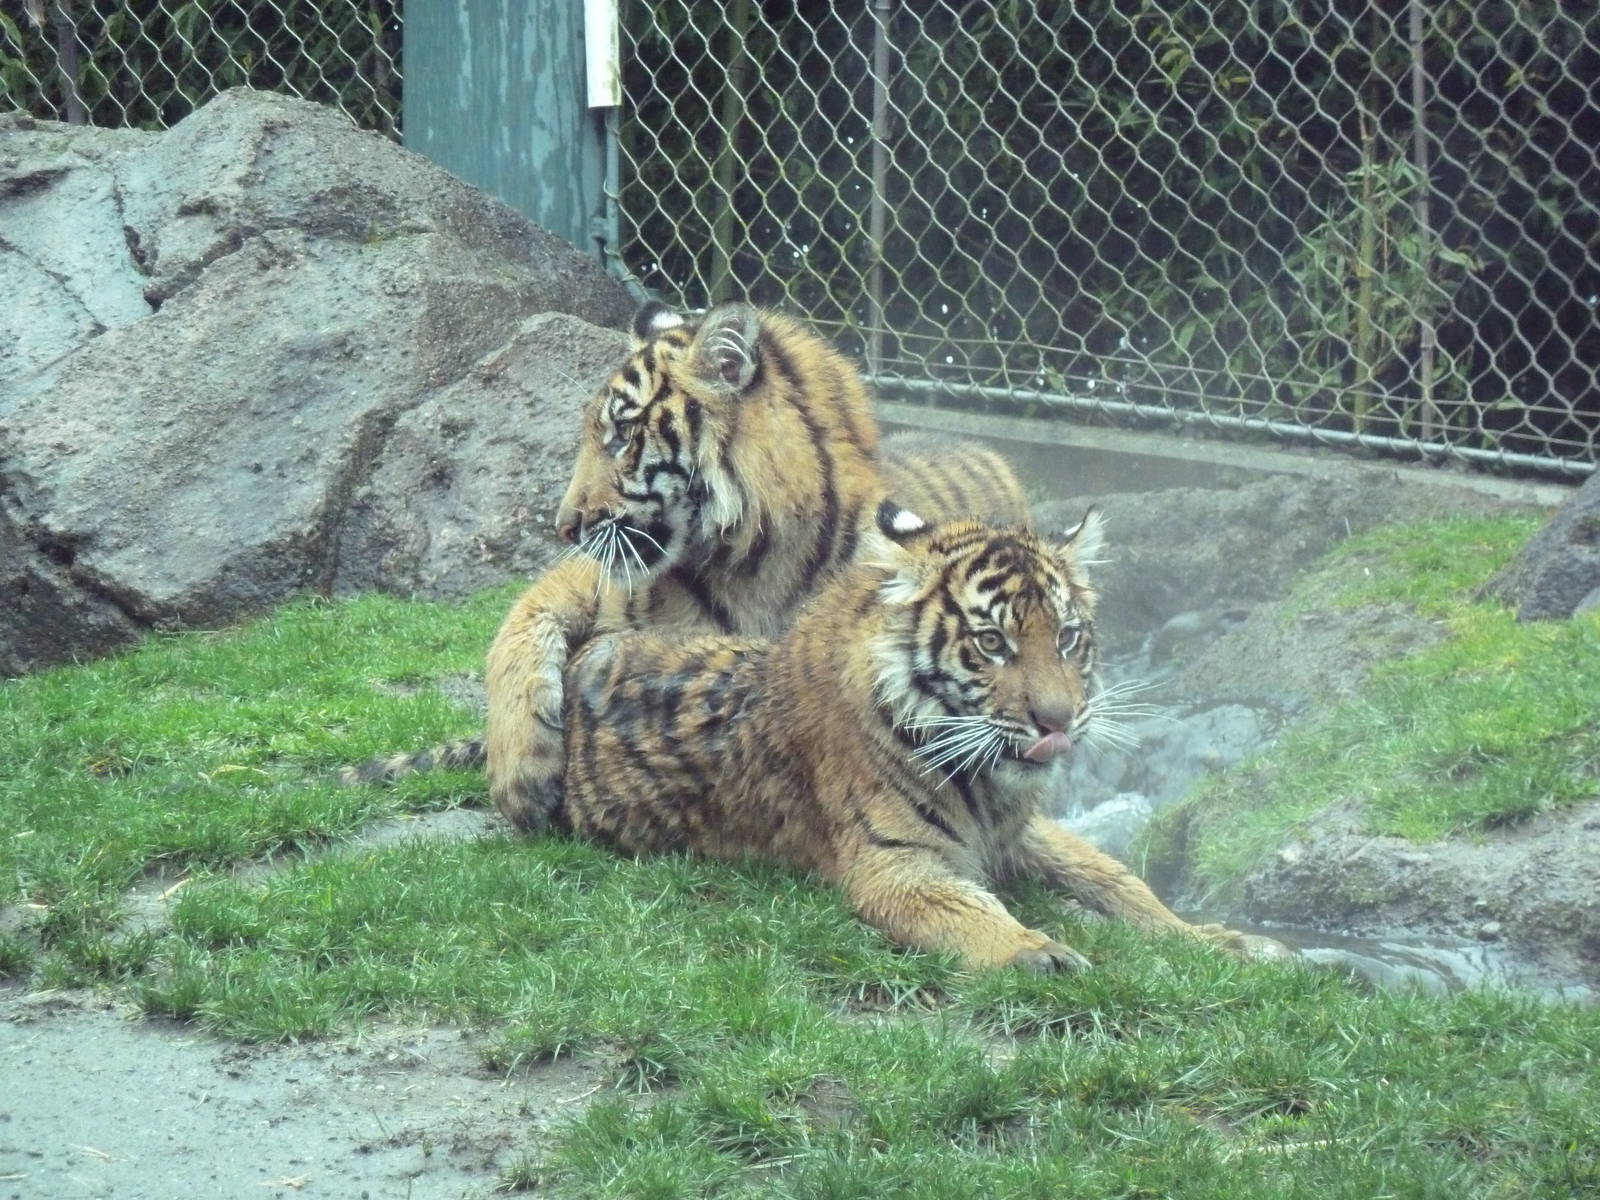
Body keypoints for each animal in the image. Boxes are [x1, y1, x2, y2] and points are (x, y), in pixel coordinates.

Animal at [341, 302, 1032, 830]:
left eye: (621, 435)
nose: (563, 526)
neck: (757, 563)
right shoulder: (593, 578)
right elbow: (517, 633)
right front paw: (523, 777)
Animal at [558, 499, 1271, 971]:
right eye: (992, 643)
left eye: (1068, 637)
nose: (1058, 721)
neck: (990, 788)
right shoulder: (895, 862)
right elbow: (969, 910)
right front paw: (1038, 951)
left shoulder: (1023, 831)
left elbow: (1117, 879)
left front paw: (1218, 940)